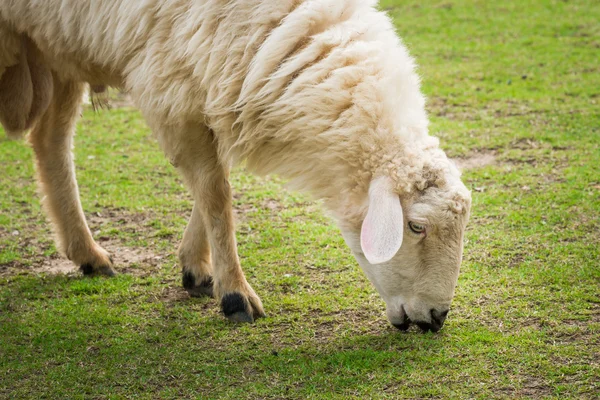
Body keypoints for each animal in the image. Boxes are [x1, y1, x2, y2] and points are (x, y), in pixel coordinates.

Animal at [0, 0, 472, 332]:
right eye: (415, 226)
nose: (437, 318)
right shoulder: (171, 85)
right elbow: (215, 191)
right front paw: (234, 294)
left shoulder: (218, 84)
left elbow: (214, 185)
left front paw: (196, 268)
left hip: (55, 47)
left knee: (50, 141)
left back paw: (87, 254)